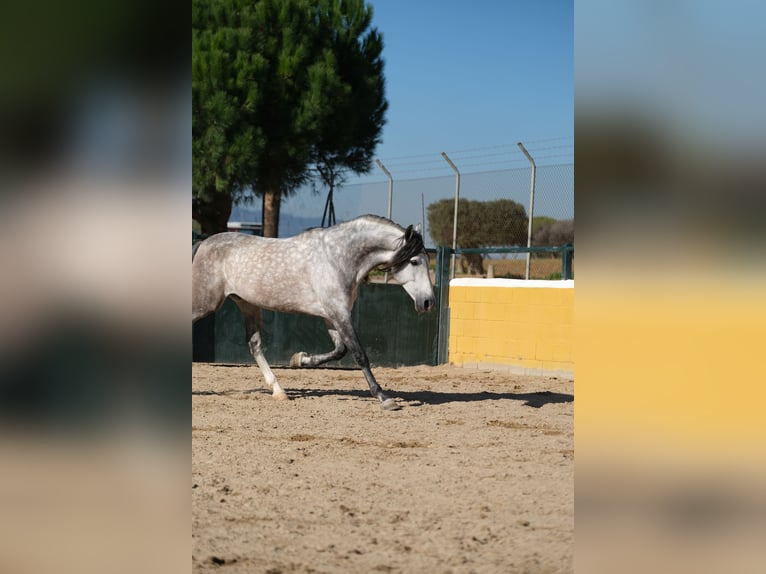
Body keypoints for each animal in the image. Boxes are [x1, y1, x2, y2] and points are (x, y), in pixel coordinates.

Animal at [192, 215, 436, 410]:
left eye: (427, 259)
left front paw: (299, 360)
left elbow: (339, 351)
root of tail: (203, 243)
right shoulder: (339, 313)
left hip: (247, 305)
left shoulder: (332, 315)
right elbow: (359, 354)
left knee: (255, 345)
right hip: (206, 303)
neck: (338, 258)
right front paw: (384, 398)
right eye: (414, 261)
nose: (428, 302)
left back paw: (279, 391)